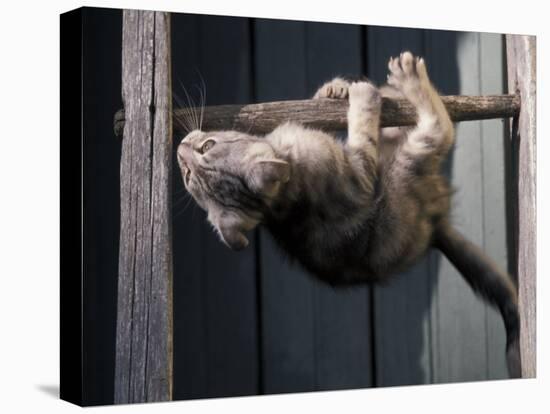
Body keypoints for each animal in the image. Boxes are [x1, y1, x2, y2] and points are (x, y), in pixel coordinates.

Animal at [177, 51, 520, 378]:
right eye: (188, 170)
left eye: (205, 147)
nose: (180, 149)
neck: (280, 203)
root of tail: (435, 227)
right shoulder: (358, 178)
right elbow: (364, 134)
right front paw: (362, 99)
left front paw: (332, 90)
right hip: (410, 161)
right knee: (439, 128)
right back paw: (409, 80)